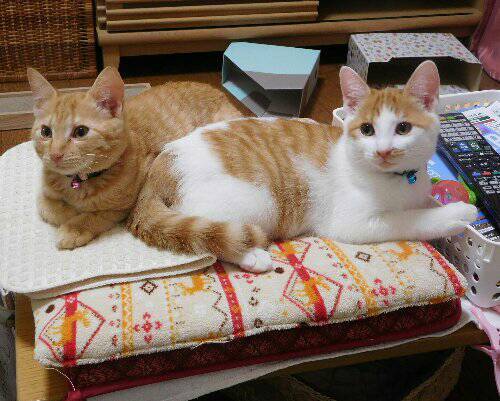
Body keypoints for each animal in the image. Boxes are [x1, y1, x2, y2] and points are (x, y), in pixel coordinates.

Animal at [28, 67, 244, 249]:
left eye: (80, 131)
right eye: (46, 132)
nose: (55, 154)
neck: (78, 182)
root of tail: (219, 92)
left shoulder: (124, 205)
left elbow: (98, 214)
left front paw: (75, 227)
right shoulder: (44, 191)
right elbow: (47, 207)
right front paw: (68, 213)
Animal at [128, 60, 477, 273]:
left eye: (403, 128)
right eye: (367, 130)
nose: (384, 151)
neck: (397, 181)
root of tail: (161, 167)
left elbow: (422, 204)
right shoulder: (352, 223)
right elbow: (410, 220)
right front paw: (458, 214)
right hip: (261, 202)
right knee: (216, 237)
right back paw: (251, 256)